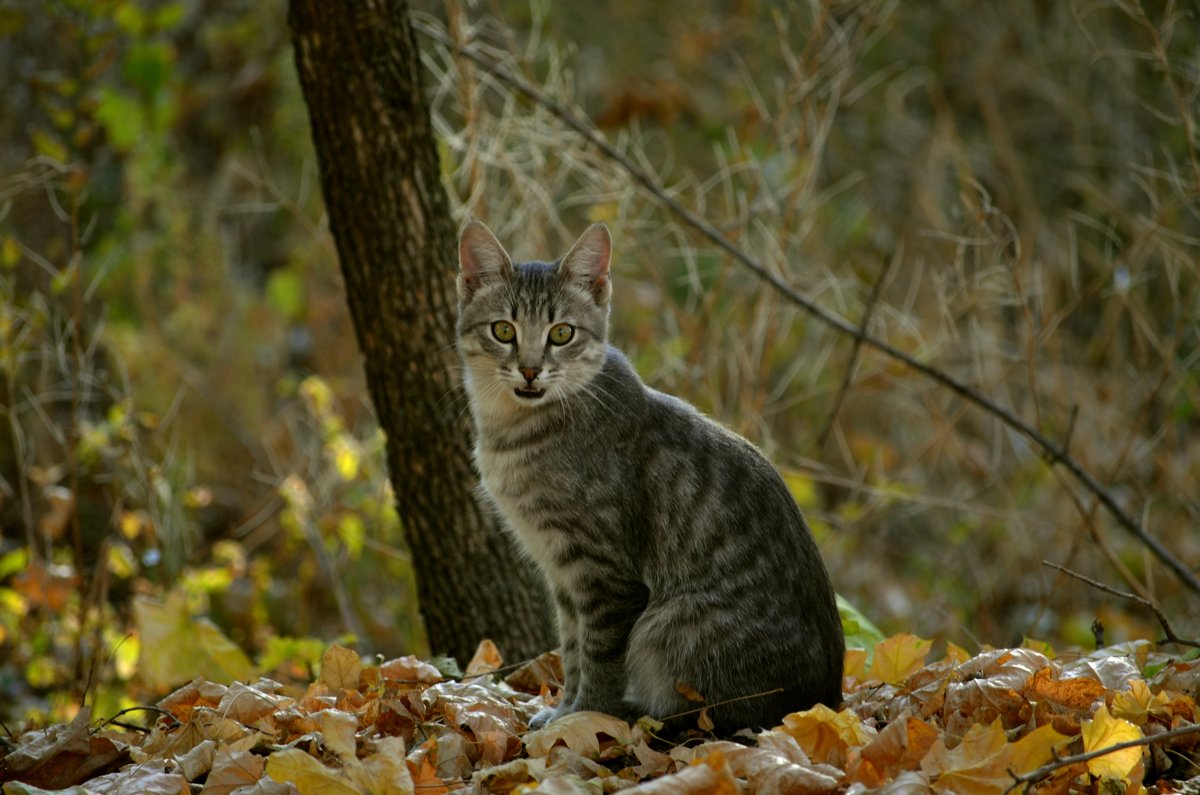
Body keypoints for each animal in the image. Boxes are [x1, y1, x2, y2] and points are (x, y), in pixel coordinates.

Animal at [451, 219, 844, 734]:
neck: (516, 431)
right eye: (503, 330)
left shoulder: (605, 574)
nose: (531, 370)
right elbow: (572, 647)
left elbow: (599, 656)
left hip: (669, 624)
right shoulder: (564, 572)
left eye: (561, 333)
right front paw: (564, 710)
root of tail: (827, 700)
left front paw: (583, 718)